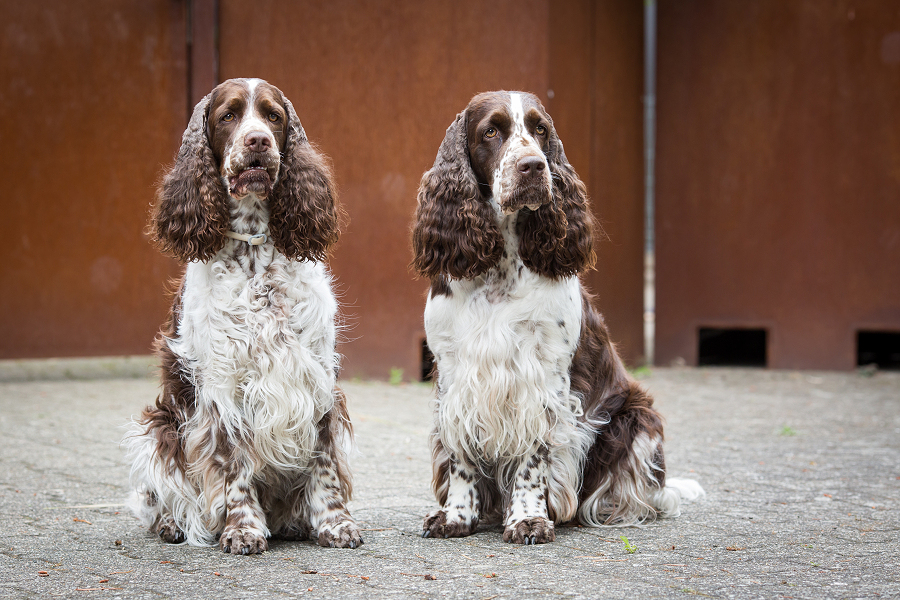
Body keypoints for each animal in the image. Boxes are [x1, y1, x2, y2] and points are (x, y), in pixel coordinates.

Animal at [124, 78, 362, 552]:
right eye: (228, 115)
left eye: (273, 116)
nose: (258, 141)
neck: (255, 251)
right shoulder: (222, 383)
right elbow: (231, 463)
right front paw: (243, 528)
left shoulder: (318, 374)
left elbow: (324, 459)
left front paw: (335, 522)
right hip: (160, 427)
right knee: (162, 494)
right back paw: (173, 524)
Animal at [414, 89, 704, 544]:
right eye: (491, 131)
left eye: (540, 129)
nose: (533, 166)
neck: (499, 271)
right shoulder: (454, 373)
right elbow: (460, 454)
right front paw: (455, 516)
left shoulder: (544, 378)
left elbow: (534, 458)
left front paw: (529, 519)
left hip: (637, 418)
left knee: (643, 493)